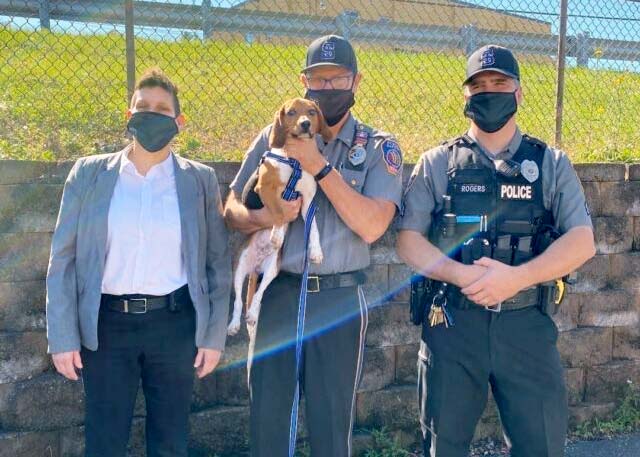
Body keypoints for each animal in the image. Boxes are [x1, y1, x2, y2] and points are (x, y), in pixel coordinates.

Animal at [228, 98, 332, 334]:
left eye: (311, 112)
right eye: (291, 112)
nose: (305, 124)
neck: (295, 162)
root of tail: (255, 266)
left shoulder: (308, 201)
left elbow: (314, 228)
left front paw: (317, 251)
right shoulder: (264, 188)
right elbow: (277, 211)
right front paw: (276, 234)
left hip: (272, 269)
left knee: (258, 295)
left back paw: (253, 314)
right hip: (239, 267)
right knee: (238, 300)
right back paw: (234, 324)